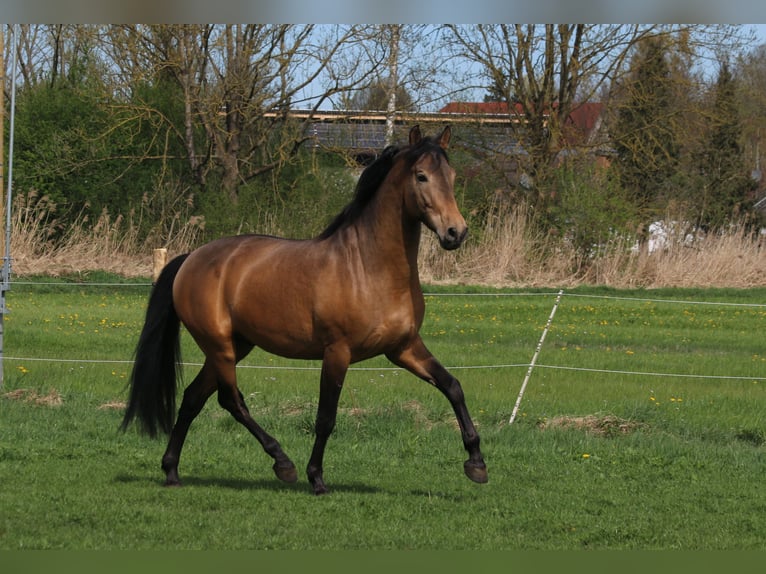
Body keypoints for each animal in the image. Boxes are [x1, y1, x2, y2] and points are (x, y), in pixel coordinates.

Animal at [122, 126, 488, 496]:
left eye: (452, 176)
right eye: (421, 175)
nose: (456, 232)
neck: (368, 267)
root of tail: (190, 259)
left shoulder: (403, 348)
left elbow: (452, 386)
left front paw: (476, 464)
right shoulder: (338, 352)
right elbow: (326, 417)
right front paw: (317, 477)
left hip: (234, 347)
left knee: (193, 398)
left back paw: (172, 471)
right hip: (220, 347)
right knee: (230, 400)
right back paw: (283, 463)